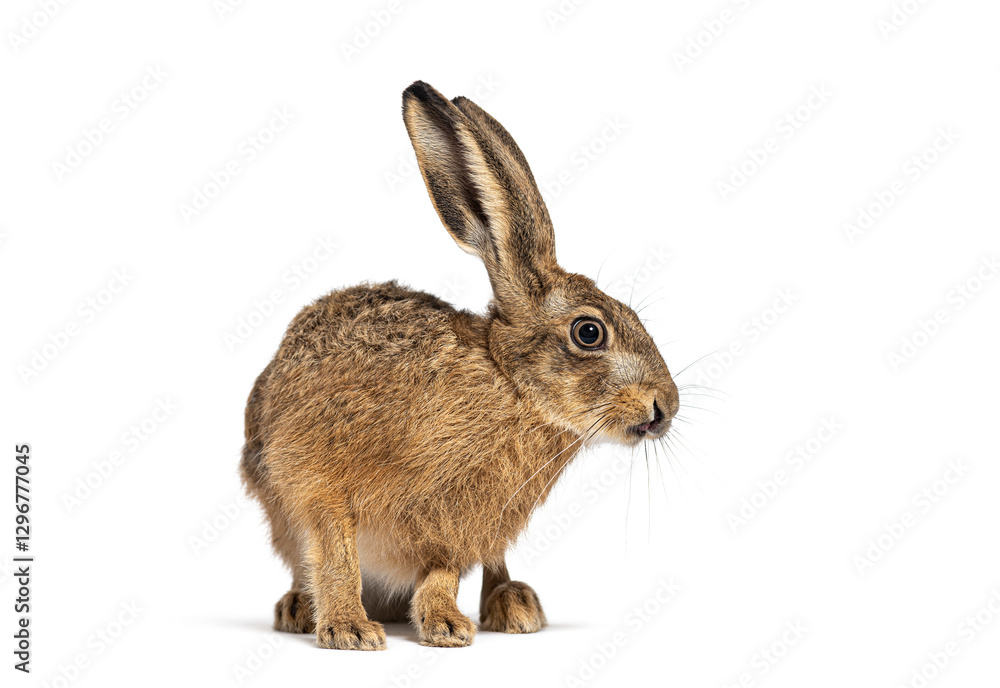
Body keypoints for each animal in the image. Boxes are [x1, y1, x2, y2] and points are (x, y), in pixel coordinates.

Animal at [240, 80, 679, 650]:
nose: (666, 406)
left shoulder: (461, 526)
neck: (510, 387)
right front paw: (348, 629)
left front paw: (446, 626)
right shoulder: (319, 477)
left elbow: (443, 571)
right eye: (589, 332)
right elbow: (335, 551)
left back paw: (514, 605)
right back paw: (299, 608)